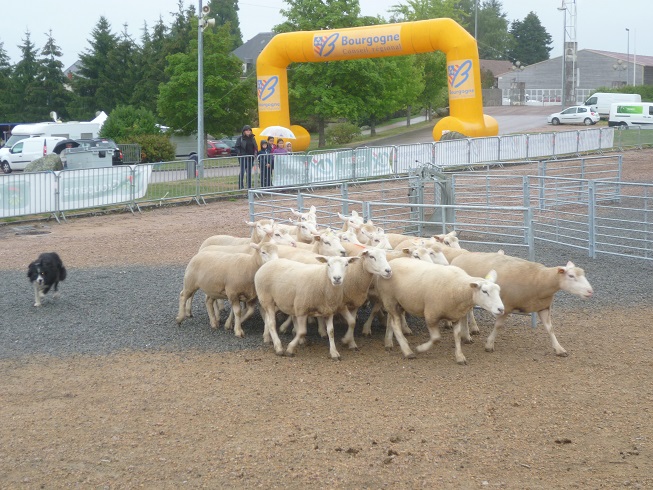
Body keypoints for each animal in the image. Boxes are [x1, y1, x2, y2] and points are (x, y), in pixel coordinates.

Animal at [372, 256, 504, 364]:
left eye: (498, 290)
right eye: (484, 291)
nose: (501, 309)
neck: (458, 289)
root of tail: (390, 263)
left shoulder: (455, 316)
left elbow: (457, 336)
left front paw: (460, 357)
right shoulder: (431, 315)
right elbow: (436, 339)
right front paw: (420, 348)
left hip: (396, 302)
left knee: (390, 320)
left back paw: (388, 342)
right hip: (390, 299)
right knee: (395, 324)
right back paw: (407, 350)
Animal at [450, 253, 592, 356]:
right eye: (571, 276)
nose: (590, 291)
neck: (540, 279)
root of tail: (459, 256)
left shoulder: (544, 307)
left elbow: (550, 328)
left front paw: (559, 349)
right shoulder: (506, 306)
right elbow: (498, 326)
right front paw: (489, 344)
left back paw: (466, 334)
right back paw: (467, 335)